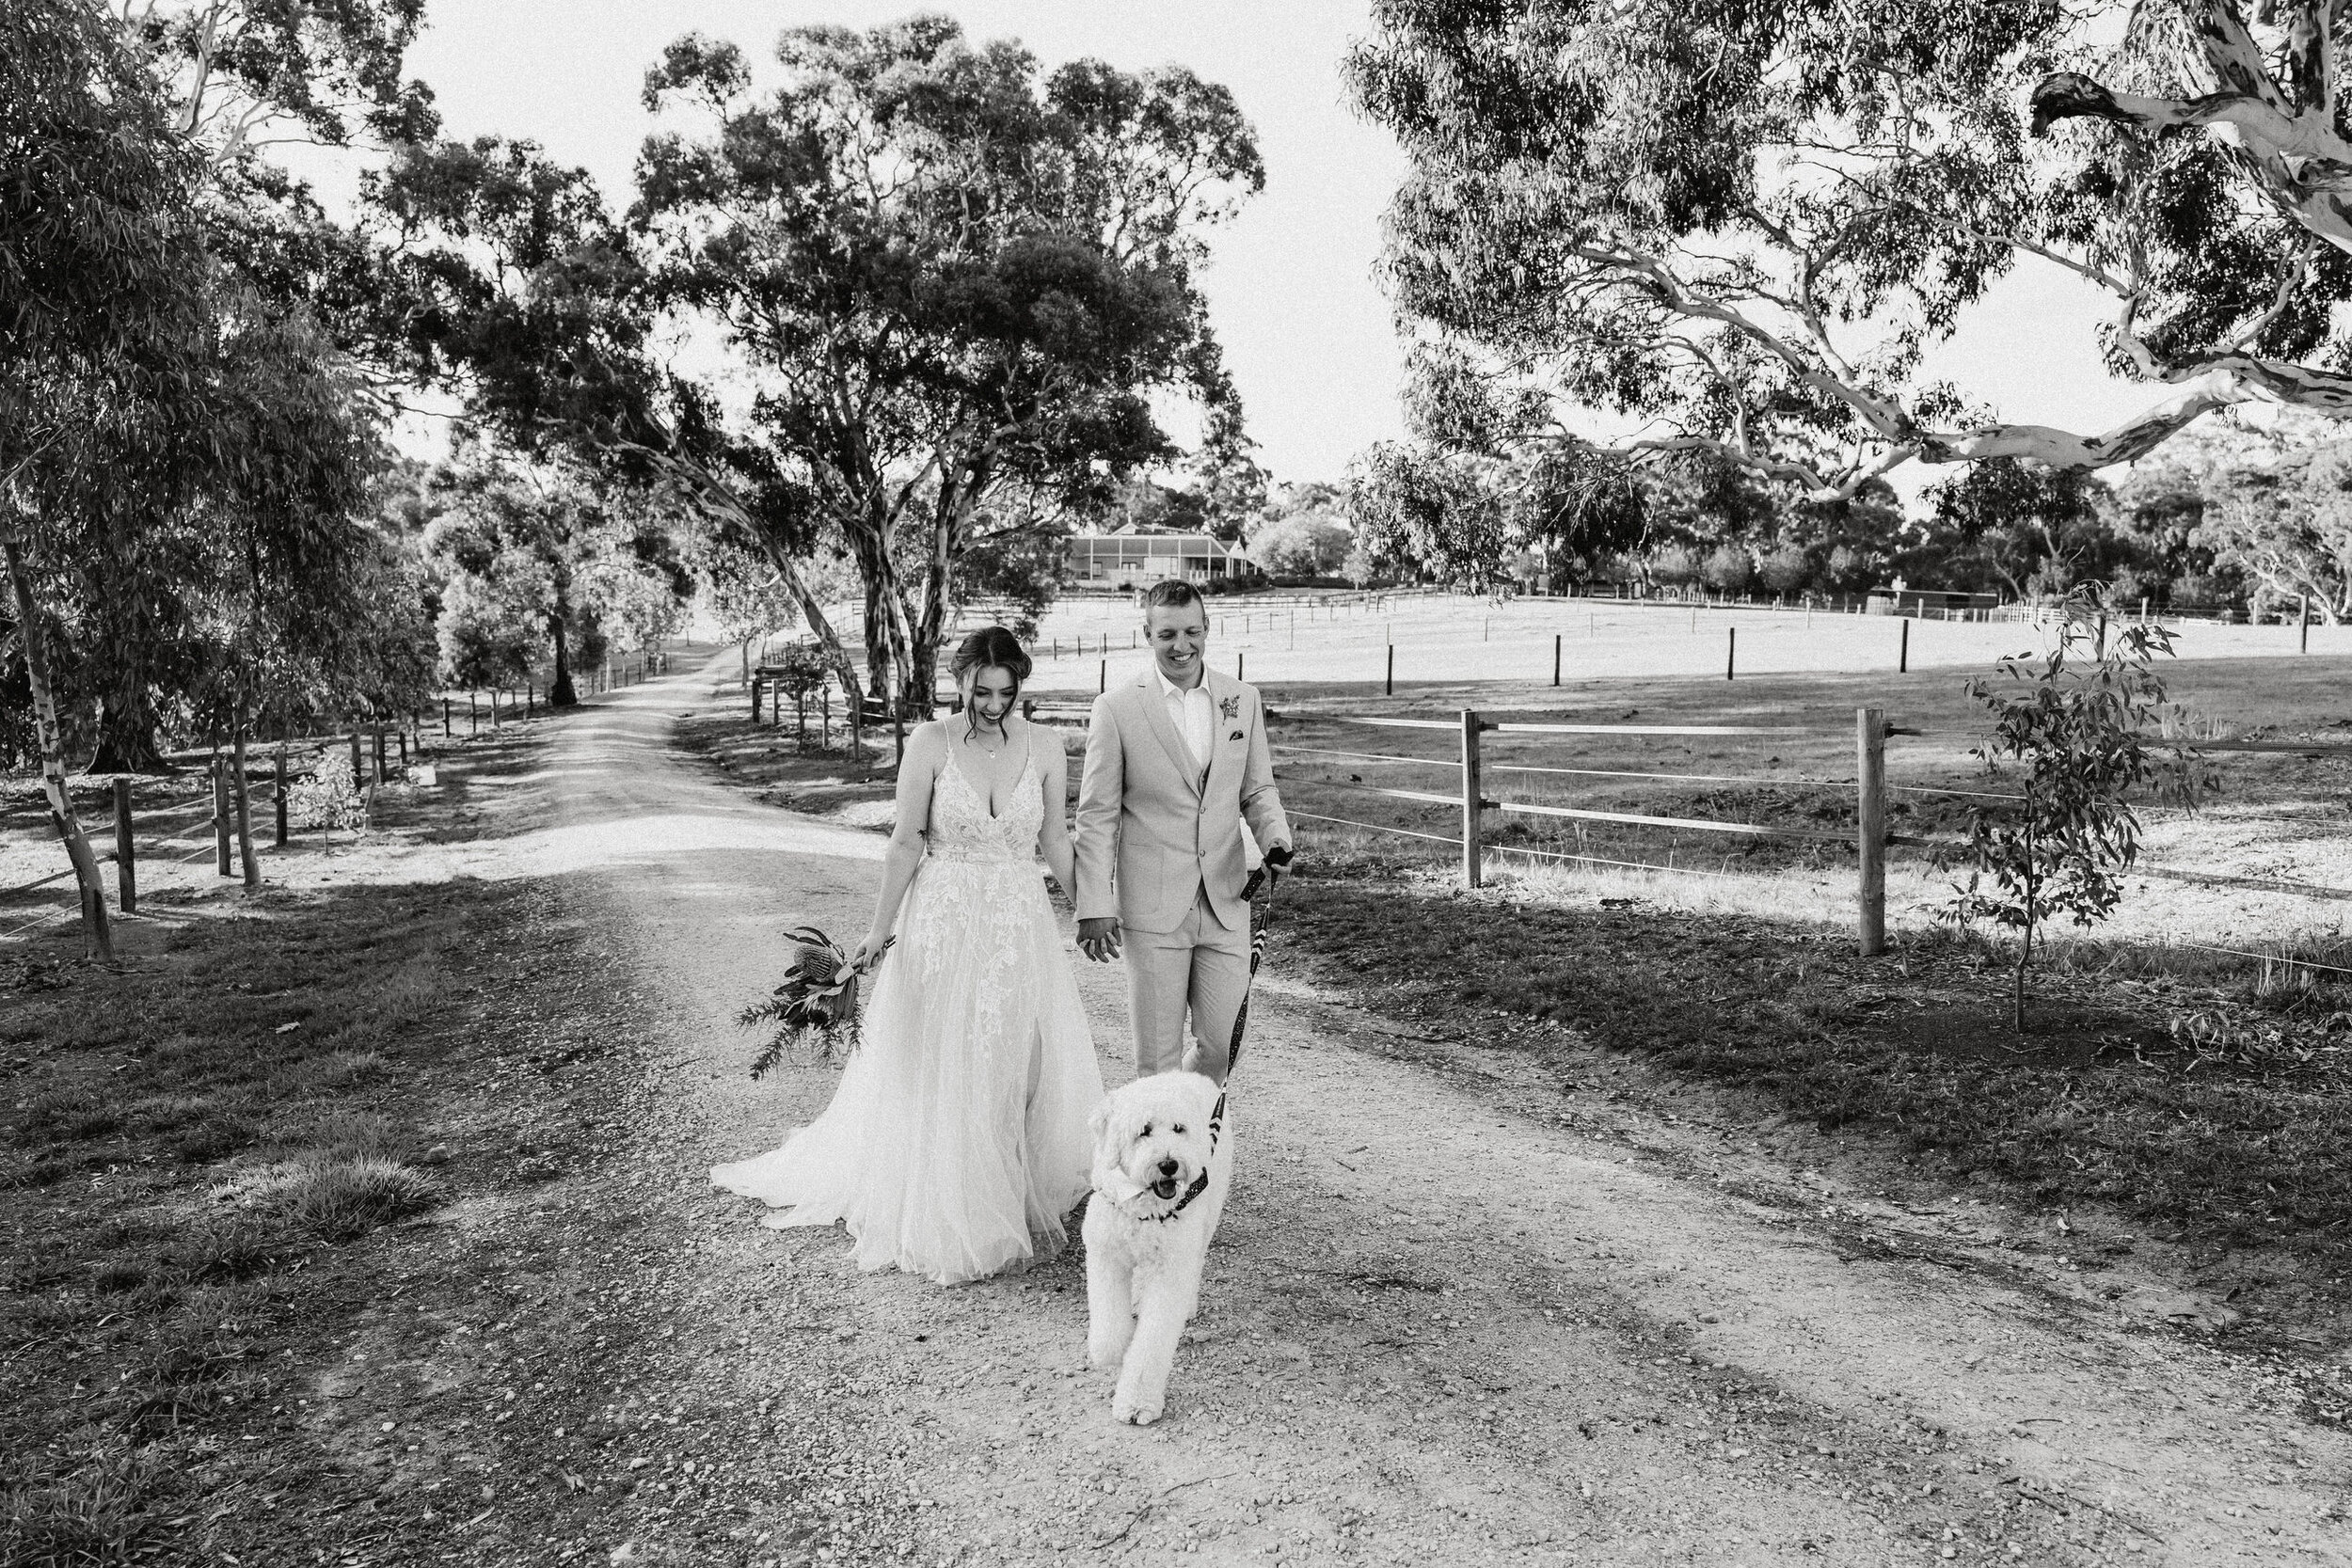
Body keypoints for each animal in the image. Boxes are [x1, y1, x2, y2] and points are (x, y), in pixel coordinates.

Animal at [1077, 1071, 1232, 1429]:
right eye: (1144, 1131)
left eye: (1178, 1128)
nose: (1169, 1164)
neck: (1143, 1206)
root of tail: (1194, 1077)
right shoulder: (1106, 1256)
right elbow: (1109, 1328)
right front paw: (1113, 1350)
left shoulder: (1169, 1272)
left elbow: (1150, 1345)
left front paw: (1137, 1403)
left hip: (1205, 1220)